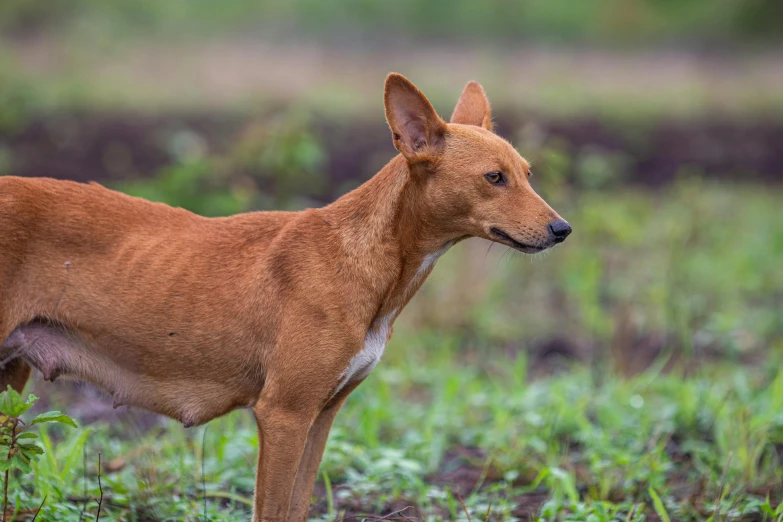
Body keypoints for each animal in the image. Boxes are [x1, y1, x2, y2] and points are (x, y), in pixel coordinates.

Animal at [3, 74, 572, 520]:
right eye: (493, 178)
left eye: (527, 174)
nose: (562, 229)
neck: (360, 260)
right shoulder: (282, 414)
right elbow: (272, 509)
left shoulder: (321, 415)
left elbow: (297, 506)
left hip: (13, 371)